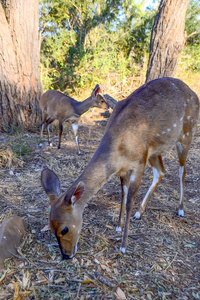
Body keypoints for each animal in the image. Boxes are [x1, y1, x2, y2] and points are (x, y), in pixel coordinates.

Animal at [40, 77, 198, 258]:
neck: (119, 147)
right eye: (51, 228)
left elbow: (129, 201)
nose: (66, 255)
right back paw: (139, 213)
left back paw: (180, 209)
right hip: (155, 150)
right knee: (161, 171)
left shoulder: (139, 163)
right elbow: (123, 194)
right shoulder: (124, 168)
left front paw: (123, 245)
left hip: (187, 133)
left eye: (64, 229)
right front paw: (118, 226)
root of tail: (194, 94)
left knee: (182, 170)